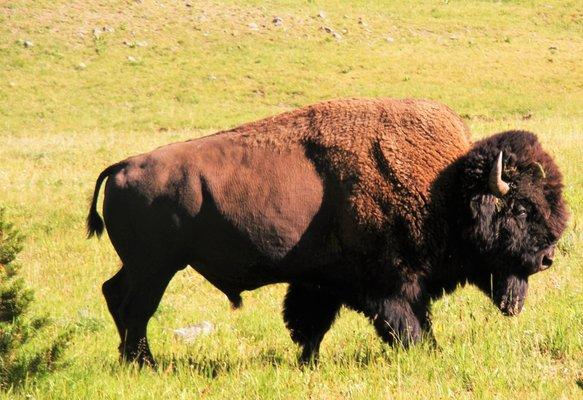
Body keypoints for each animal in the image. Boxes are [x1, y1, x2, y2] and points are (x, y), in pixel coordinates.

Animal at [85, 99, 564, 366]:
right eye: (522, 207)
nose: (546, 258)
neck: (443, 187)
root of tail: (122, 166)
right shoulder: (388, 287)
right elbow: (406, 327)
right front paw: (427, 355)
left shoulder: (322, 284)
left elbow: (309, 325)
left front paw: (307, 363)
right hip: (156, 268)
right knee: (135, 309)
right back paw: (144, 365)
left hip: (144, 267)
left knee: (115, 295)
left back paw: (133, 363)